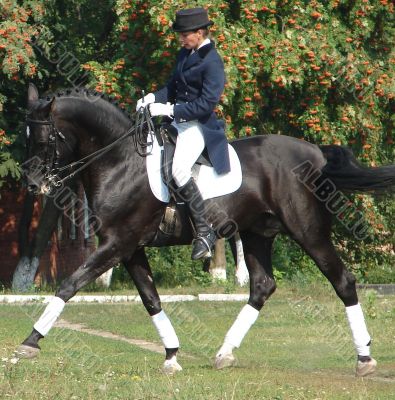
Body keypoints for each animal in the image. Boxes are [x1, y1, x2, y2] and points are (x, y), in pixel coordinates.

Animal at [17, 83, 394, 376]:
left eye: (45, 139)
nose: (34, 185)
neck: (120, 162)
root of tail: (316, 153)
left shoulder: (117, 243)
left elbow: (70, 284)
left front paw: (30, 342)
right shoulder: (130, 247)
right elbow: (150, 299)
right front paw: (171, 355)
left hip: (308, 231)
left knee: (342, 280)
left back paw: (364, 359)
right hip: (257, 233)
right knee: (262, 286)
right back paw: (224, 353)